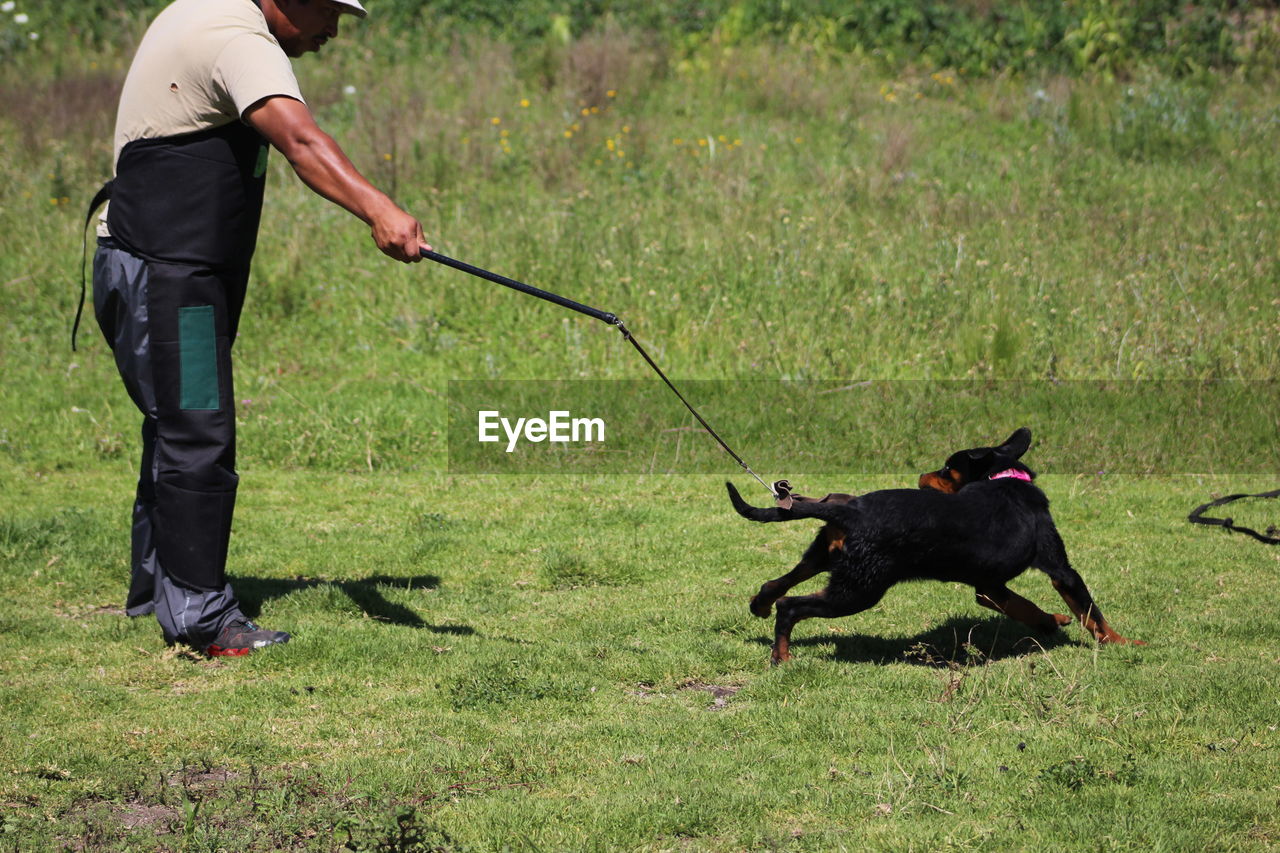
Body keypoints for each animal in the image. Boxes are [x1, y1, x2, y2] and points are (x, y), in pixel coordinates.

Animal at [732, 427, 1141, 660]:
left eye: (946, 469)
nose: (921, 475)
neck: (1005, 479)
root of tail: (849, 510)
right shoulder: (1061, 571)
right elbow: (1091, 612)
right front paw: (1123, 643)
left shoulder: (990, 587)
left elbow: (1025, 607)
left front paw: (1051, 621)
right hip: (859, 589)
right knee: (791, 605)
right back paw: (782, 657)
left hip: (827, 558)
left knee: (776, 584)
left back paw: (760, 607)